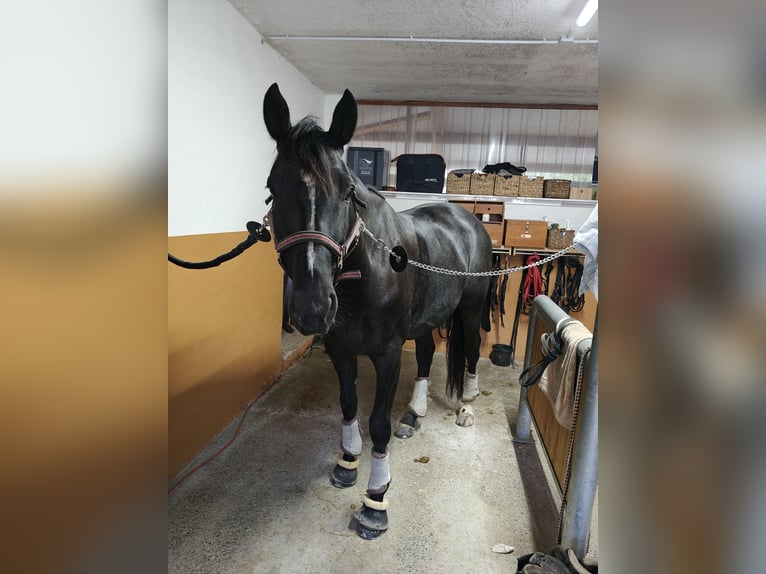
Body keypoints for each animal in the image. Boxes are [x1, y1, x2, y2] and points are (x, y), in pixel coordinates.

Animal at [264, 83, 492, 544]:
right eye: (273, 188)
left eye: (349, 192)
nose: (313, 308)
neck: (365, 272)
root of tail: (467, 217)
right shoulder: (340, 348)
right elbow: (349, 405)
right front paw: (348, 463)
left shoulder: (386, 354)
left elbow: (378, 424)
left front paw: (375, 502)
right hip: (425, 320)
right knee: (425, 355)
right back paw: (415, 414)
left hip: (471, 309)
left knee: (473, 351)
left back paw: (467, 407)